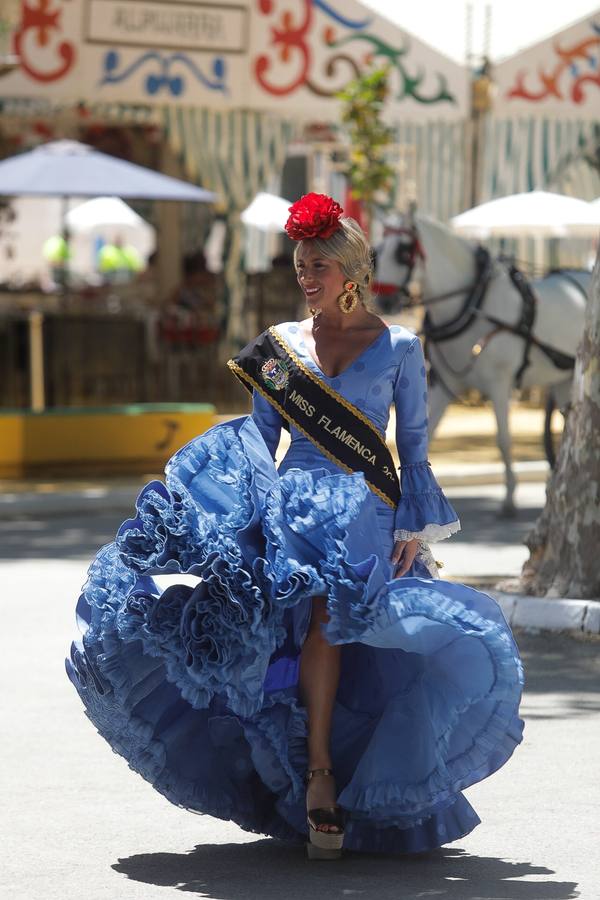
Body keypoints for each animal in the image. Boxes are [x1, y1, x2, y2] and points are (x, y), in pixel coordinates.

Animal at [372, 214, 588, 512]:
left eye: (404, 252)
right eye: (377, 251)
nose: (384, 300)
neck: (472, 305)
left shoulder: (500, 383)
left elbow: (504, 439)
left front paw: (509, 496)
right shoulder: (445, 383)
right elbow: (425, 435)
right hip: (564, 380)